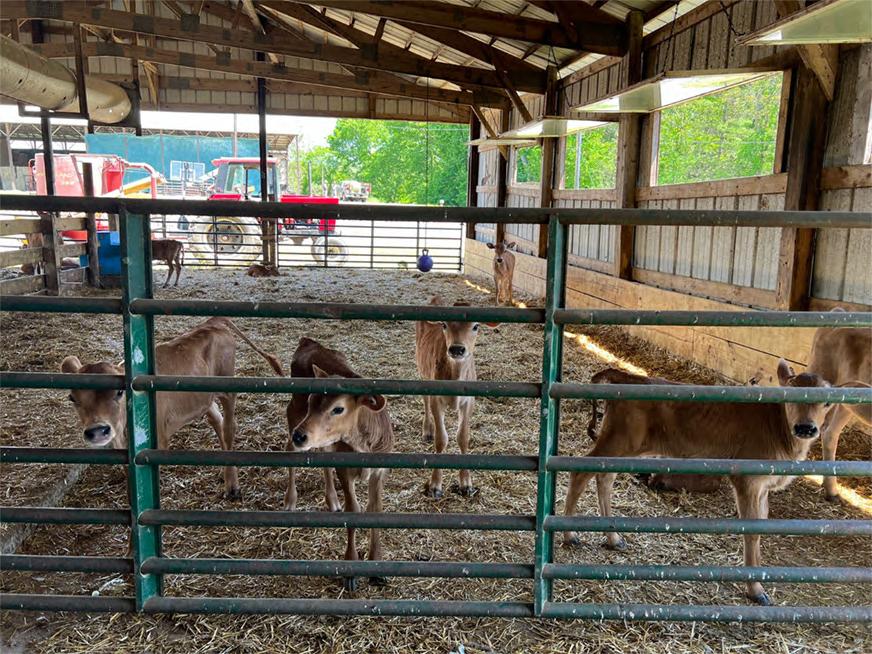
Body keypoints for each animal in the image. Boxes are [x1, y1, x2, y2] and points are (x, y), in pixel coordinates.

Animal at [63, 320, 282, 500]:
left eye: (119, 392)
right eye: (72, 398)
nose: (98, 430)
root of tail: (213, 323)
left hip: (228, 390)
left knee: (229, 428)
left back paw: (232, 487)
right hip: (204, 398)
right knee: (217, 421)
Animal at [286, 338, 392, 596]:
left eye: (338, 408)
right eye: (311, 400)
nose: (301, 436)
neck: (363, 442)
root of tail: (309, 342)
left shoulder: (380, 471)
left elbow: (376, 511)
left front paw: (377, 566)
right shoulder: (345, 470)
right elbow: (353, 511)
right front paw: (350, 569)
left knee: (323, 454)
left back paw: (332, 500)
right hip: (294, 413)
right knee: (289, 449)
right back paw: (290, 499)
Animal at [416, 300, 490, 500]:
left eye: (476, 326)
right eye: (444, 325)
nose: (457, 349)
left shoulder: (469, 401)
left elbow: (463, 437)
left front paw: (466, 484)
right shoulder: (437, 400)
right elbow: (441, 439)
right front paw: (435, 485)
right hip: (421, 370)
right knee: (425, 400)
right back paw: (427, 430)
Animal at [564, 362, 836, 608]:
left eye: (827, 402)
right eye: (791, 395)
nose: (806, 428)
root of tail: (626, 376)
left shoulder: (763, 488)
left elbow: (760, 528)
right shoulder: (747, 480)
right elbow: (751, 532)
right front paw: (755, 590)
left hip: (625, 447)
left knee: (605, 478)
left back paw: (613, 537)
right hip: (619, 441)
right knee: (580, 472)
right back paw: (570, 534)